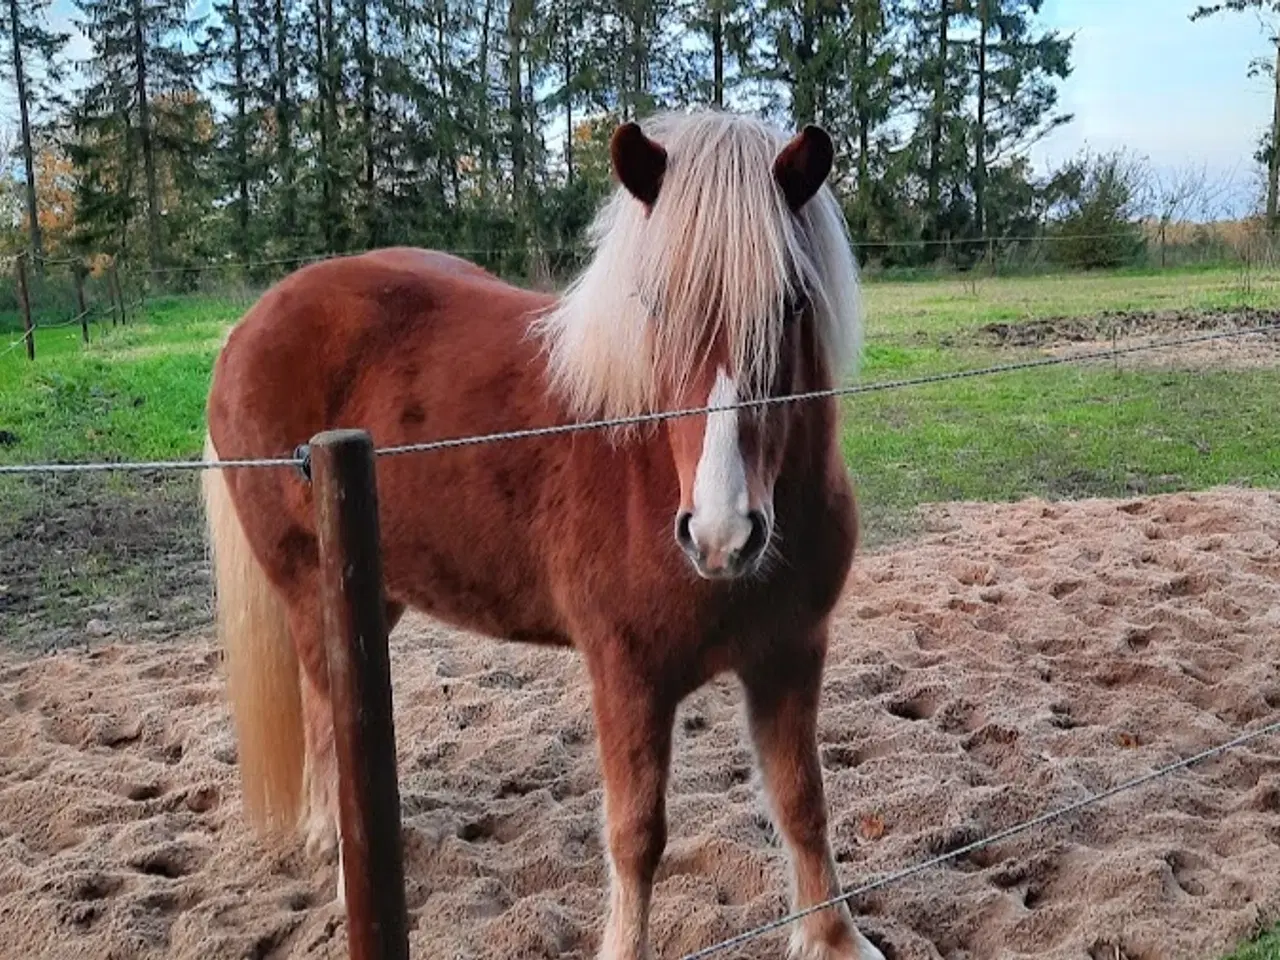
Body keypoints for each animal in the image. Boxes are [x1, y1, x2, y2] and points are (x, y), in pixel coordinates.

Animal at [202, 108, 880, 957]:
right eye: (652, 304)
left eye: (791, 304)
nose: (722, 535)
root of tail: (249, 324)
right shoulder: (627, 675)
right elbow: (636, 835)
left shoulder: (790, 654)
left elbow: (802, 801)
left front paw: (833, 938)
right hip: (303, 582)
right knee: (324, 699)